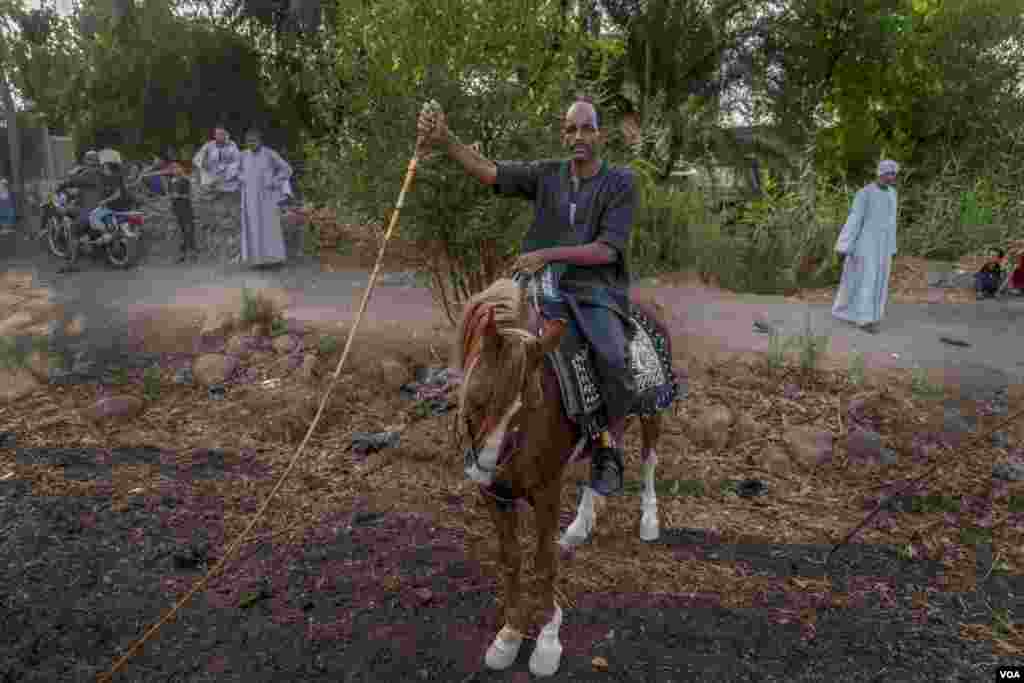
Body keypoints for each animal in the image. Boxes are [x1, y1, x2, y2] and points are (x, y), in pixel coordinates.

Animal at [446, 274, 671, 675]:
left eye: (533, 404)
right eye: (476, 397)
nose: (488, 473)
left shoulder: (546, 491)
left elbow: (544, 562)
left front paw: (548, 641)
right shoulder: (494, 499)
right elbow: (511, 560)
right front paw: (509, 635)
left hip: (651, 411)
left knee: (649, 461)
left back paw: (649, 519)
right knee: (601, 458)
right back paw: (580, 524)